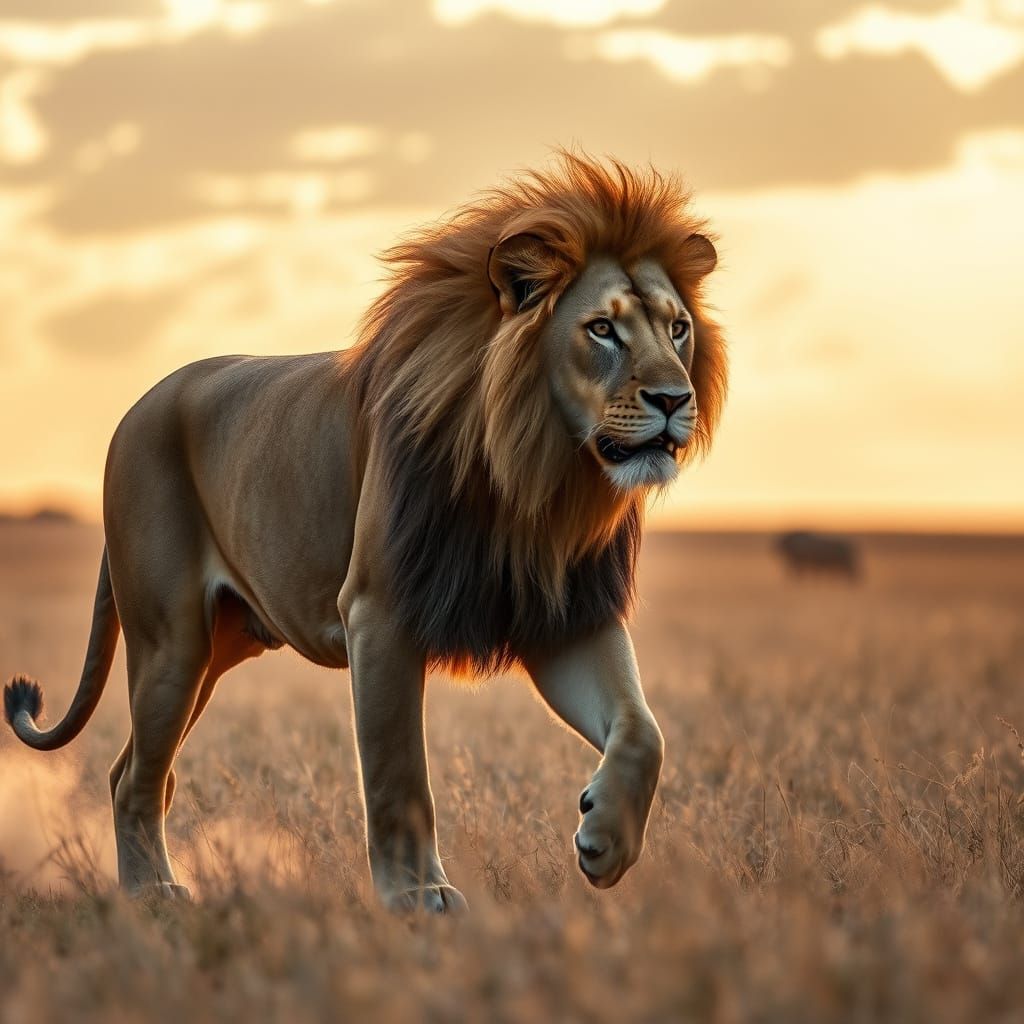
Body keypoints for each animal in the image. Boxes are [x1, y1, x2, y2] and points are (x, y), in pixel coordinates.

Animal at [3, 153, 727, 912]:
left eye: (678, 328)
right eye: (602, 330)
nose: (675, 400)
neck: (537, 475)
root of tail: (135, 407)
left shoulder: (566, 617)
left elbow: (643, 729)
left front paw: (604, 842)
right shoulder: (379, 612)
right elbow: (399, 772)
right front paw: (419, 896)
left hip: (218, 643)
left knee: (138, 769)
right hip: (171, 639)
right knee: (137, 776)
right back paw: (155, 892)